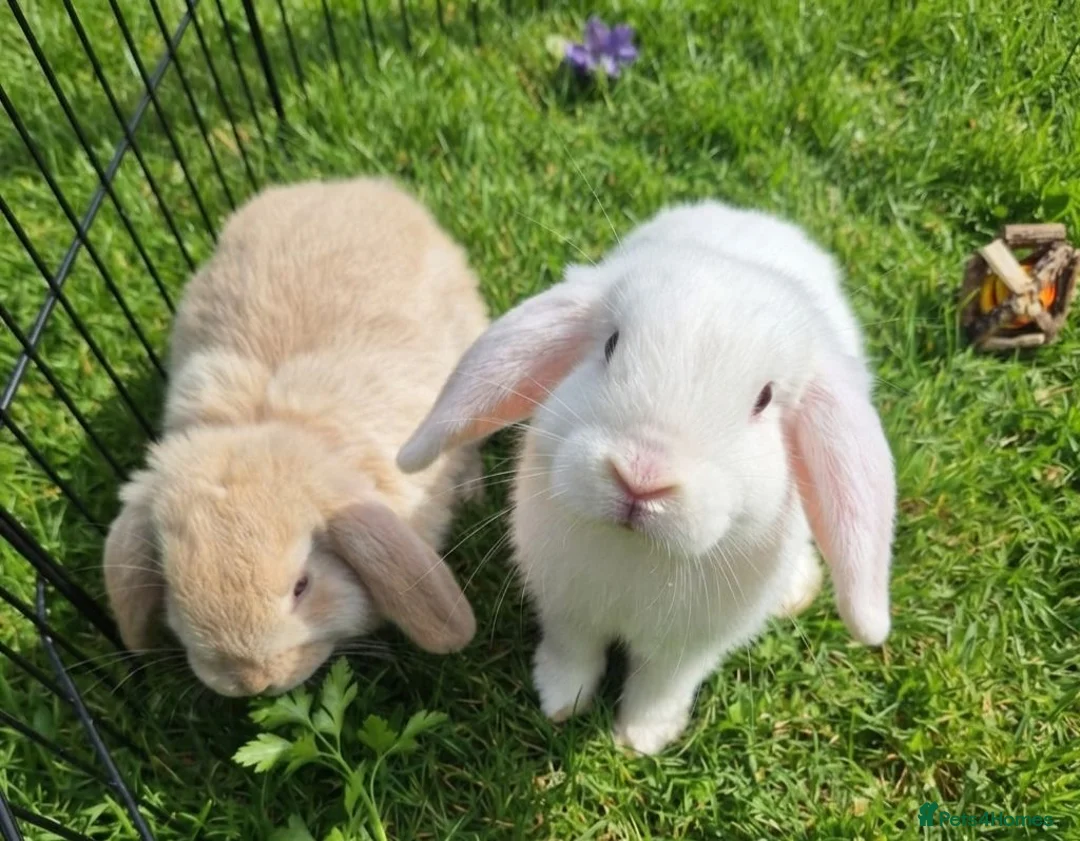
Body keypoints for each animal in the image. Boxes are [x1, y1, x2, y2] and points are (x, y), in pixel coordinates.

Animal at [396, 200, 896, 754]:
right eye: (611, 345)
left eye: (764, 399)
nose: (641, 477)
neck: (636, 549)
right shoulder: (568, 609)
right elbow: (574, 654)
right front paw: (560, 702)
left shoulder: (686, 651)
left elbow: (659, 687)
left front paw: (641, 738)